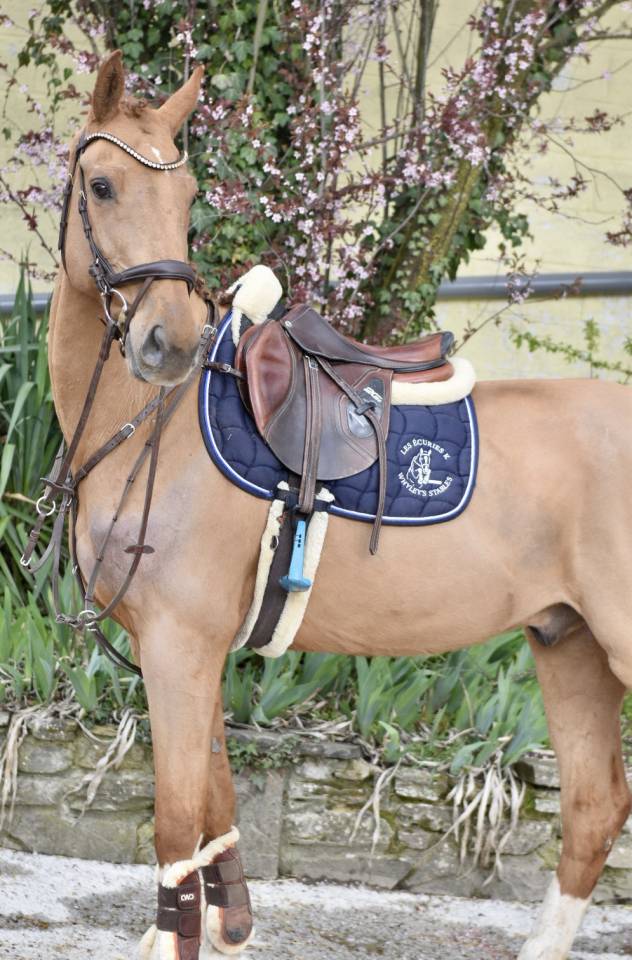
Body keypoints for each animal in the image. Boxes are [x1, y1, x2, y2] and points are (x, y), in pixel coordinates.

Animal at [46, 50, 632, 960]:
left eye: (186, 196)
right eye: (102, 186)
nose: (167, 341)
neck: (157, 427)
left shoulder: (180, 645)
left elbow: (176, 822)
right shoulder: (184, 647)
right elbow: (214, 804)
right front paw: (230, 925)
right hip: (571, 647)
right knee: (594, 807)